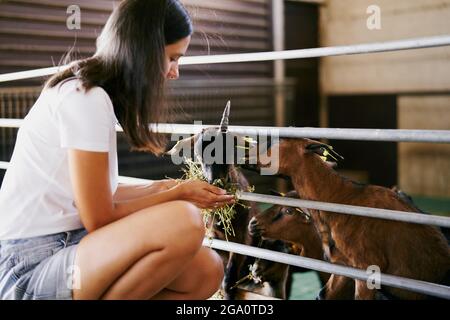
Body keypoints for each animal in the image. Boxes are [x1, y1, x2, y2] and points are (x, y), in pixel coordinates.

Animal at [253, 138, 450, 300]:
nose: (253, 224)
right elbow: (324, 295)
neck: (341, 198)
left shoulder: (367, 270)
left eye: (279, 143)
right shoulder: (342, 267)